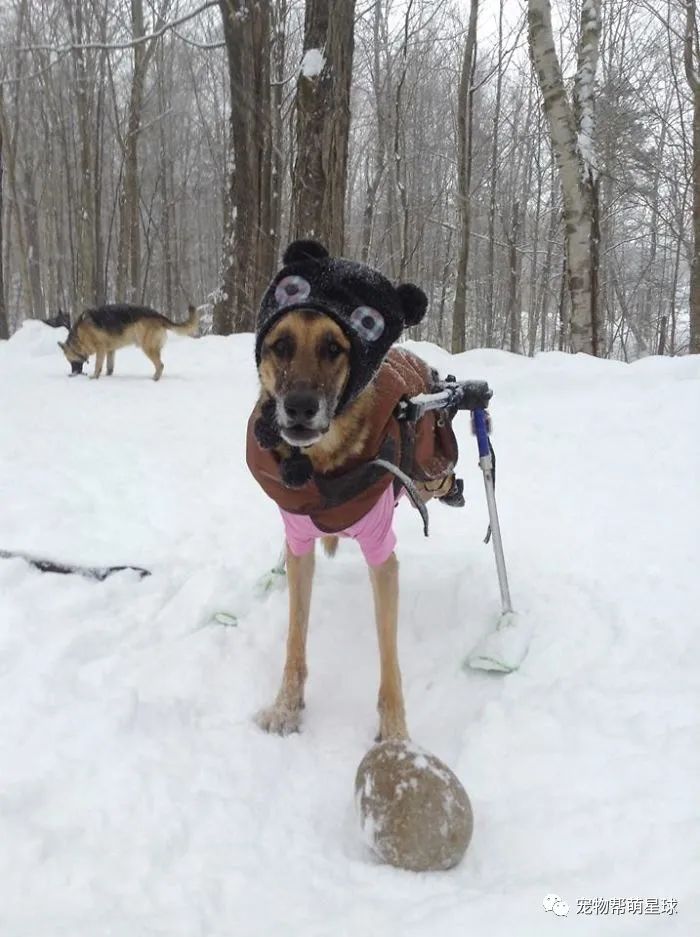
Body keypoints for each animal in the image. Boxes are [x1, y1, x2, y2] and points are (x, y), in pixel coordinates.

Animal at [58, 304, 198, 376]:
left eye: (70, 361)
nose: (72, 374)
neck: (79, 337)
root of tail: (158, 315)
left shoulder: (100, 349)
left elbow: (98, 366)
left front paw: (94, 378)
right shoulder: (110, 351)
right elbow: (109, 368)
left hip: (148, 348)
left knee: (160, 365)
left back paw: (154, 379)